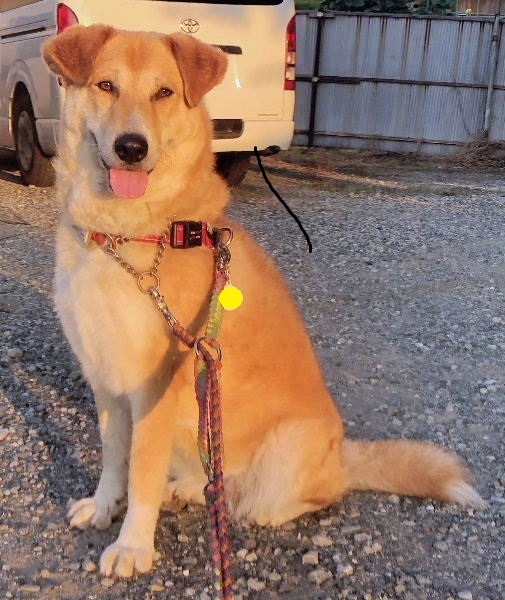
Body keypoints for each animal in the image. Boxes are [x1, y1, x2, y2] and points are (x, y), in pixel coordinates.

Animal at [42, 25, 484, 578]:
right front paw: (105, 506)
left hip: (287, 449)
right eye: (106, 85)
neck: (127, 237)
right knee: (213, 476)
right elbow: (113, 457)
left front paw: (133, 546)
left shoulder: (156, 388)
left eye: (164, 92)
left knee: (301, 494)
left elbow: (140, 471)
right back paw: (188, 487)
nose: (131, 147)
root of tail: (343, 455)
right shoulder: (104, 377)